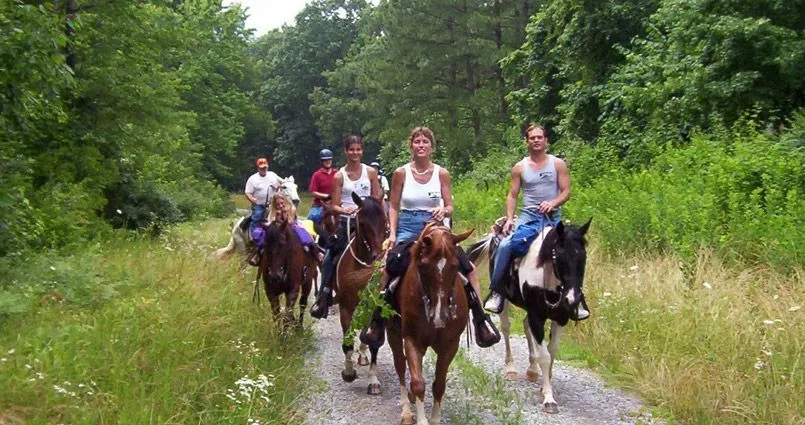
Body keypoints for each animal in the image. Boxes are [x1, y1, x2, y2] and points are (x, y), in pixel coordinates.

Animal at [332, 193, 384, 394]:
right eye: (362, 223)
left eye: (385, 220)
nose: (378, 256)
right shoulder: (345, 306)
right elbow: (347, 341)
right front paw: (348, 372)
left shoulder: (375, 308)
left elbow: (374, 341)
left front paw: (373, 381)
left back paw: (362, 355)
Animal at [386, 224, 474, 422]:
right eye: (424, 266)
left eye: (455, 266)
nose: (439, 317)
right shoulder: (412, 339)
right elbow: (418, 383)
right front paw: (422, 419)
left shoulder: (450, 344)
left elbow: (439, 385)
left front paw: (434, 419)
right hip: (393, 331)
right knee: (400, 364)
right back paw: (406, 410)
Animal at [464, 217, 592, 412]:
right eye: (559, 257)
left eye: (583, 257)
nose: (573, 299)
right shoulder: (537, 316)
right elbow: (544, 356)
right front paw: (549, 399)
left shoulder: (561, 318)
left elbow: (552, 351)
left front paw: (544, 385)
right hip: (505, 300)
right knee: (506, 328)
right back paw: (511, 369)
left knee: (525, 326)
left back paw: (532, 370)